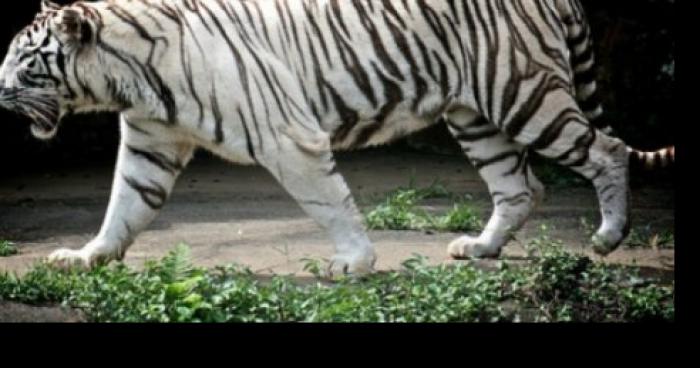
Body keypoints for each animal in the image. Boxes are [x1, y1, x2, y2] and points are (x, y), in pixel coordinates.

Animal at [0, 0, 672, 276]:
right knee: (520, 187)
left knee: (606, 151)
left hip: (524, 95)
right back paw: (480, 249)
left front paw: (354, 262)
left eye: (26, 63)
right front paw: (87, 257)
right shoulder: (149, 142)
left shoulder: (288, 137)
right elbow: (123, 206)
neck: (129, 79)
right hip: (475, 117)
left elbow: (329, 204)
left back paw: (609, 237)